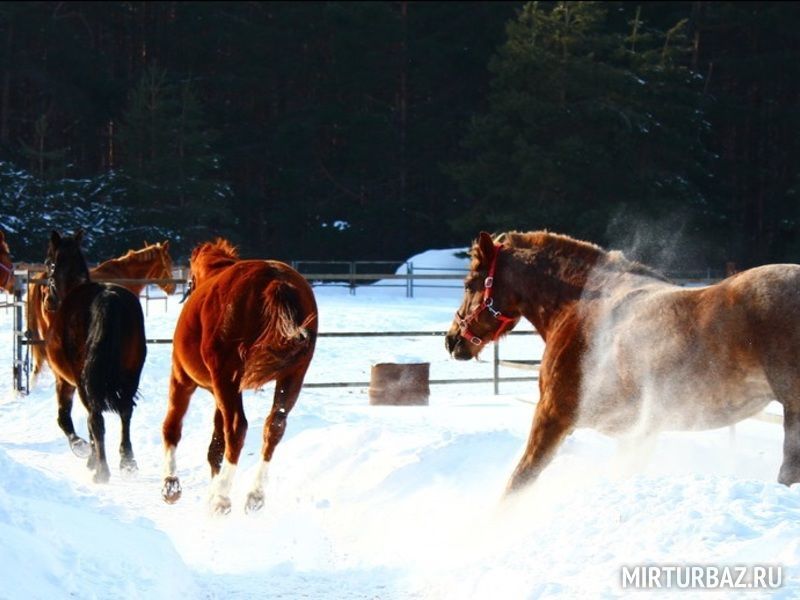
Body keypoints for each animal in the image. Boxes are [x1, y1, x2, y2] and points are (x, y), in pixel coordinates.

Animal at [44, 230, 148, 482]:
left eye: (48, 262)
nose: (48, 302)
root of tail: (109, 299)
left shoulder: (64, 380)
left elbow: (64, 418)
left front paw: (83, 450)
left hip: (83, 381)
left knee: (95, 418)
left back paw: (102, 470)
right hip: (131, 374)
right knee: (125, 412)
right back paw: (127, 461)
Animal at [161, 239, 318, 516]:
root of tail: (275, 280)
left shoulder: (182, 378)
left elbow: (172, 427)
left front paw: (171, 485)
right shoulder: (219, 391)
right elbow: (215, 445)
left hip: (226, 377)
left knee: (237, 428)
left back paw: (222, 498)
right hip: (291, 376)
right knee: (274, 426)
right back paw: (254, 495)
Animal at [446, 230, 800, 492]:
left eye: (469, 284)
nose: (451, 340)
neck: (580, 306)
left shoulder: (552, 415)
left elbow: (518, 481)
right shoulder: (637, 433)